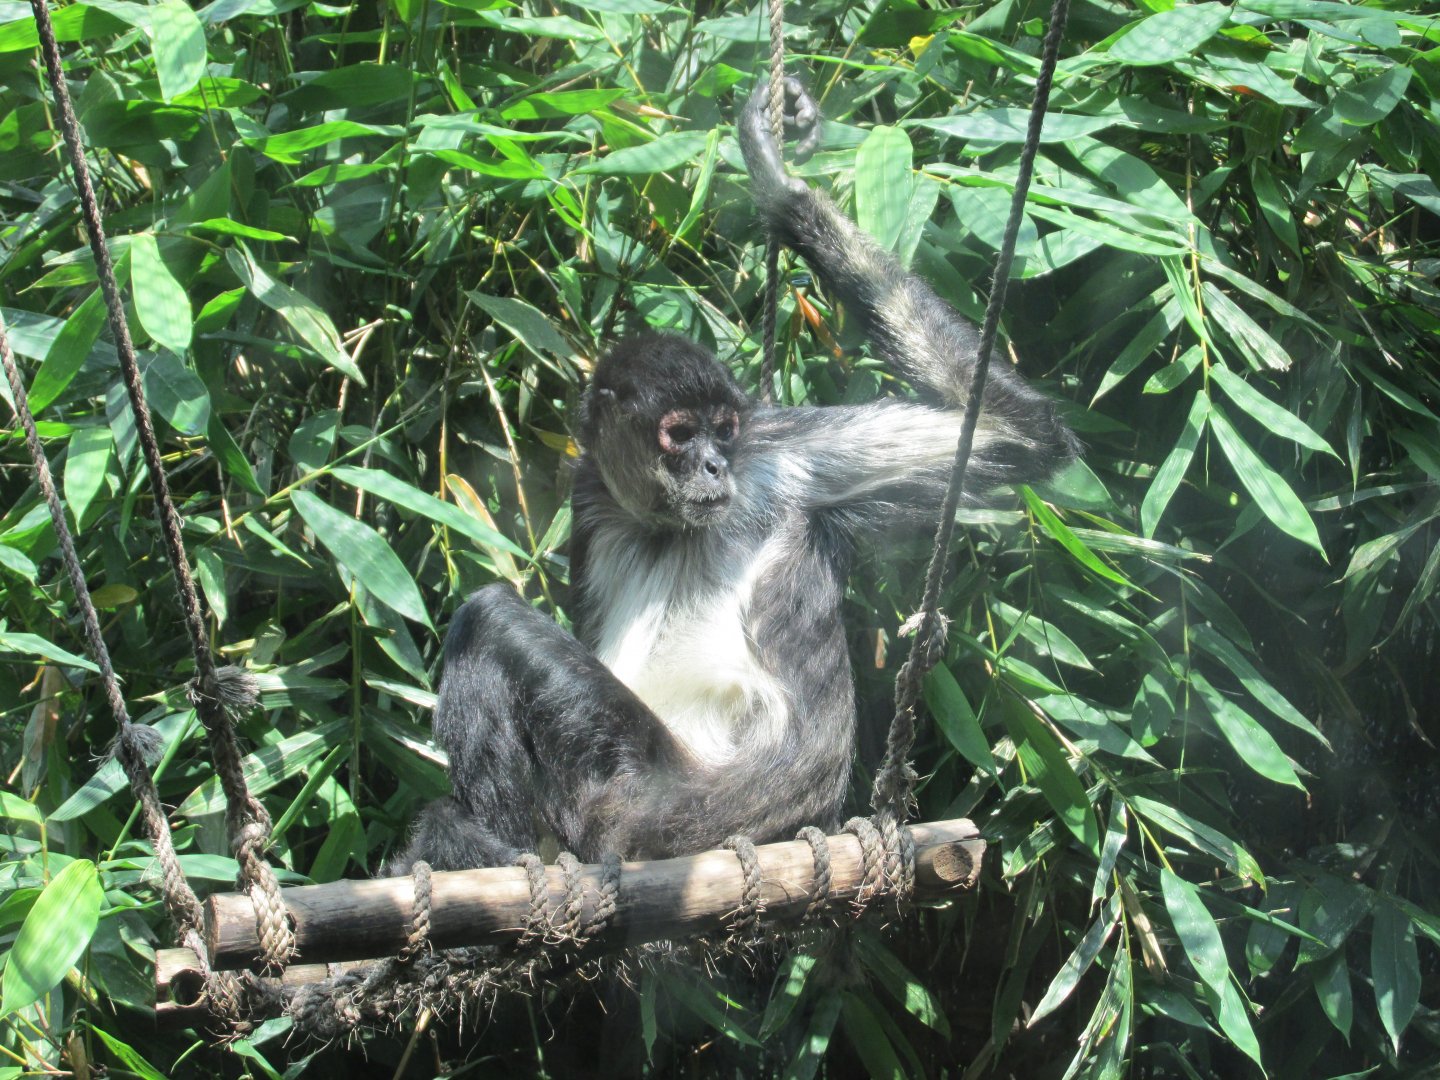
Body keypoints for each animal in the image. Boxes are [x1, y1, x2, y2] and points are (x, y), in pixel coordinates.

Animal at [388, 78, 1078, 873]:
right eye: (680, 434)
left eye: (722, 429)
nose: (715, 463)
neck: (666, 525)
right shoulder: (592, 493)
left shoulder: (777, 455)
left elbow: (1017, 437)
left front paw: (777, 180)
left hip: (653, 794)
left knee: (490, 615)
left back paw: (492, 846)